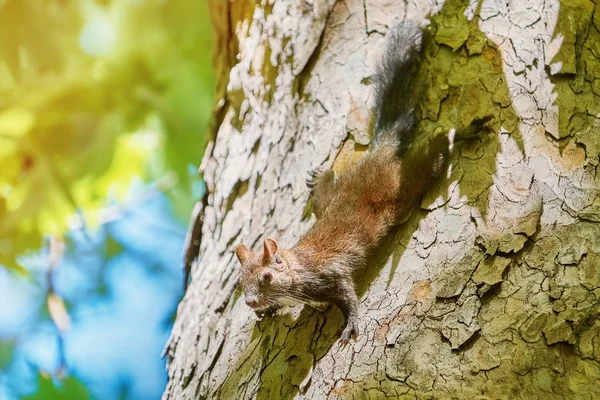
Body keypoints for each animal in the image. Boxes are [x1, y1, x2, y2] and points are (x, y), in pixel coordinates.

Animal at [232, 21, 490, 344]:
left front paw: (351, 322)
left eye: (266, 276)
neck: (298, 268)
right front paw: (266, 312)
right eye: (240, 281)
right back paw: (319, 178)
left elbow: (348, 295)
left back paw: (460, 134)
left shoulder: (330, 273)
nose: (251, 302)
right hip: (333, 197)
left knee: (438, 152)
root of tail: (379, 154)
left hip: (406, 180)